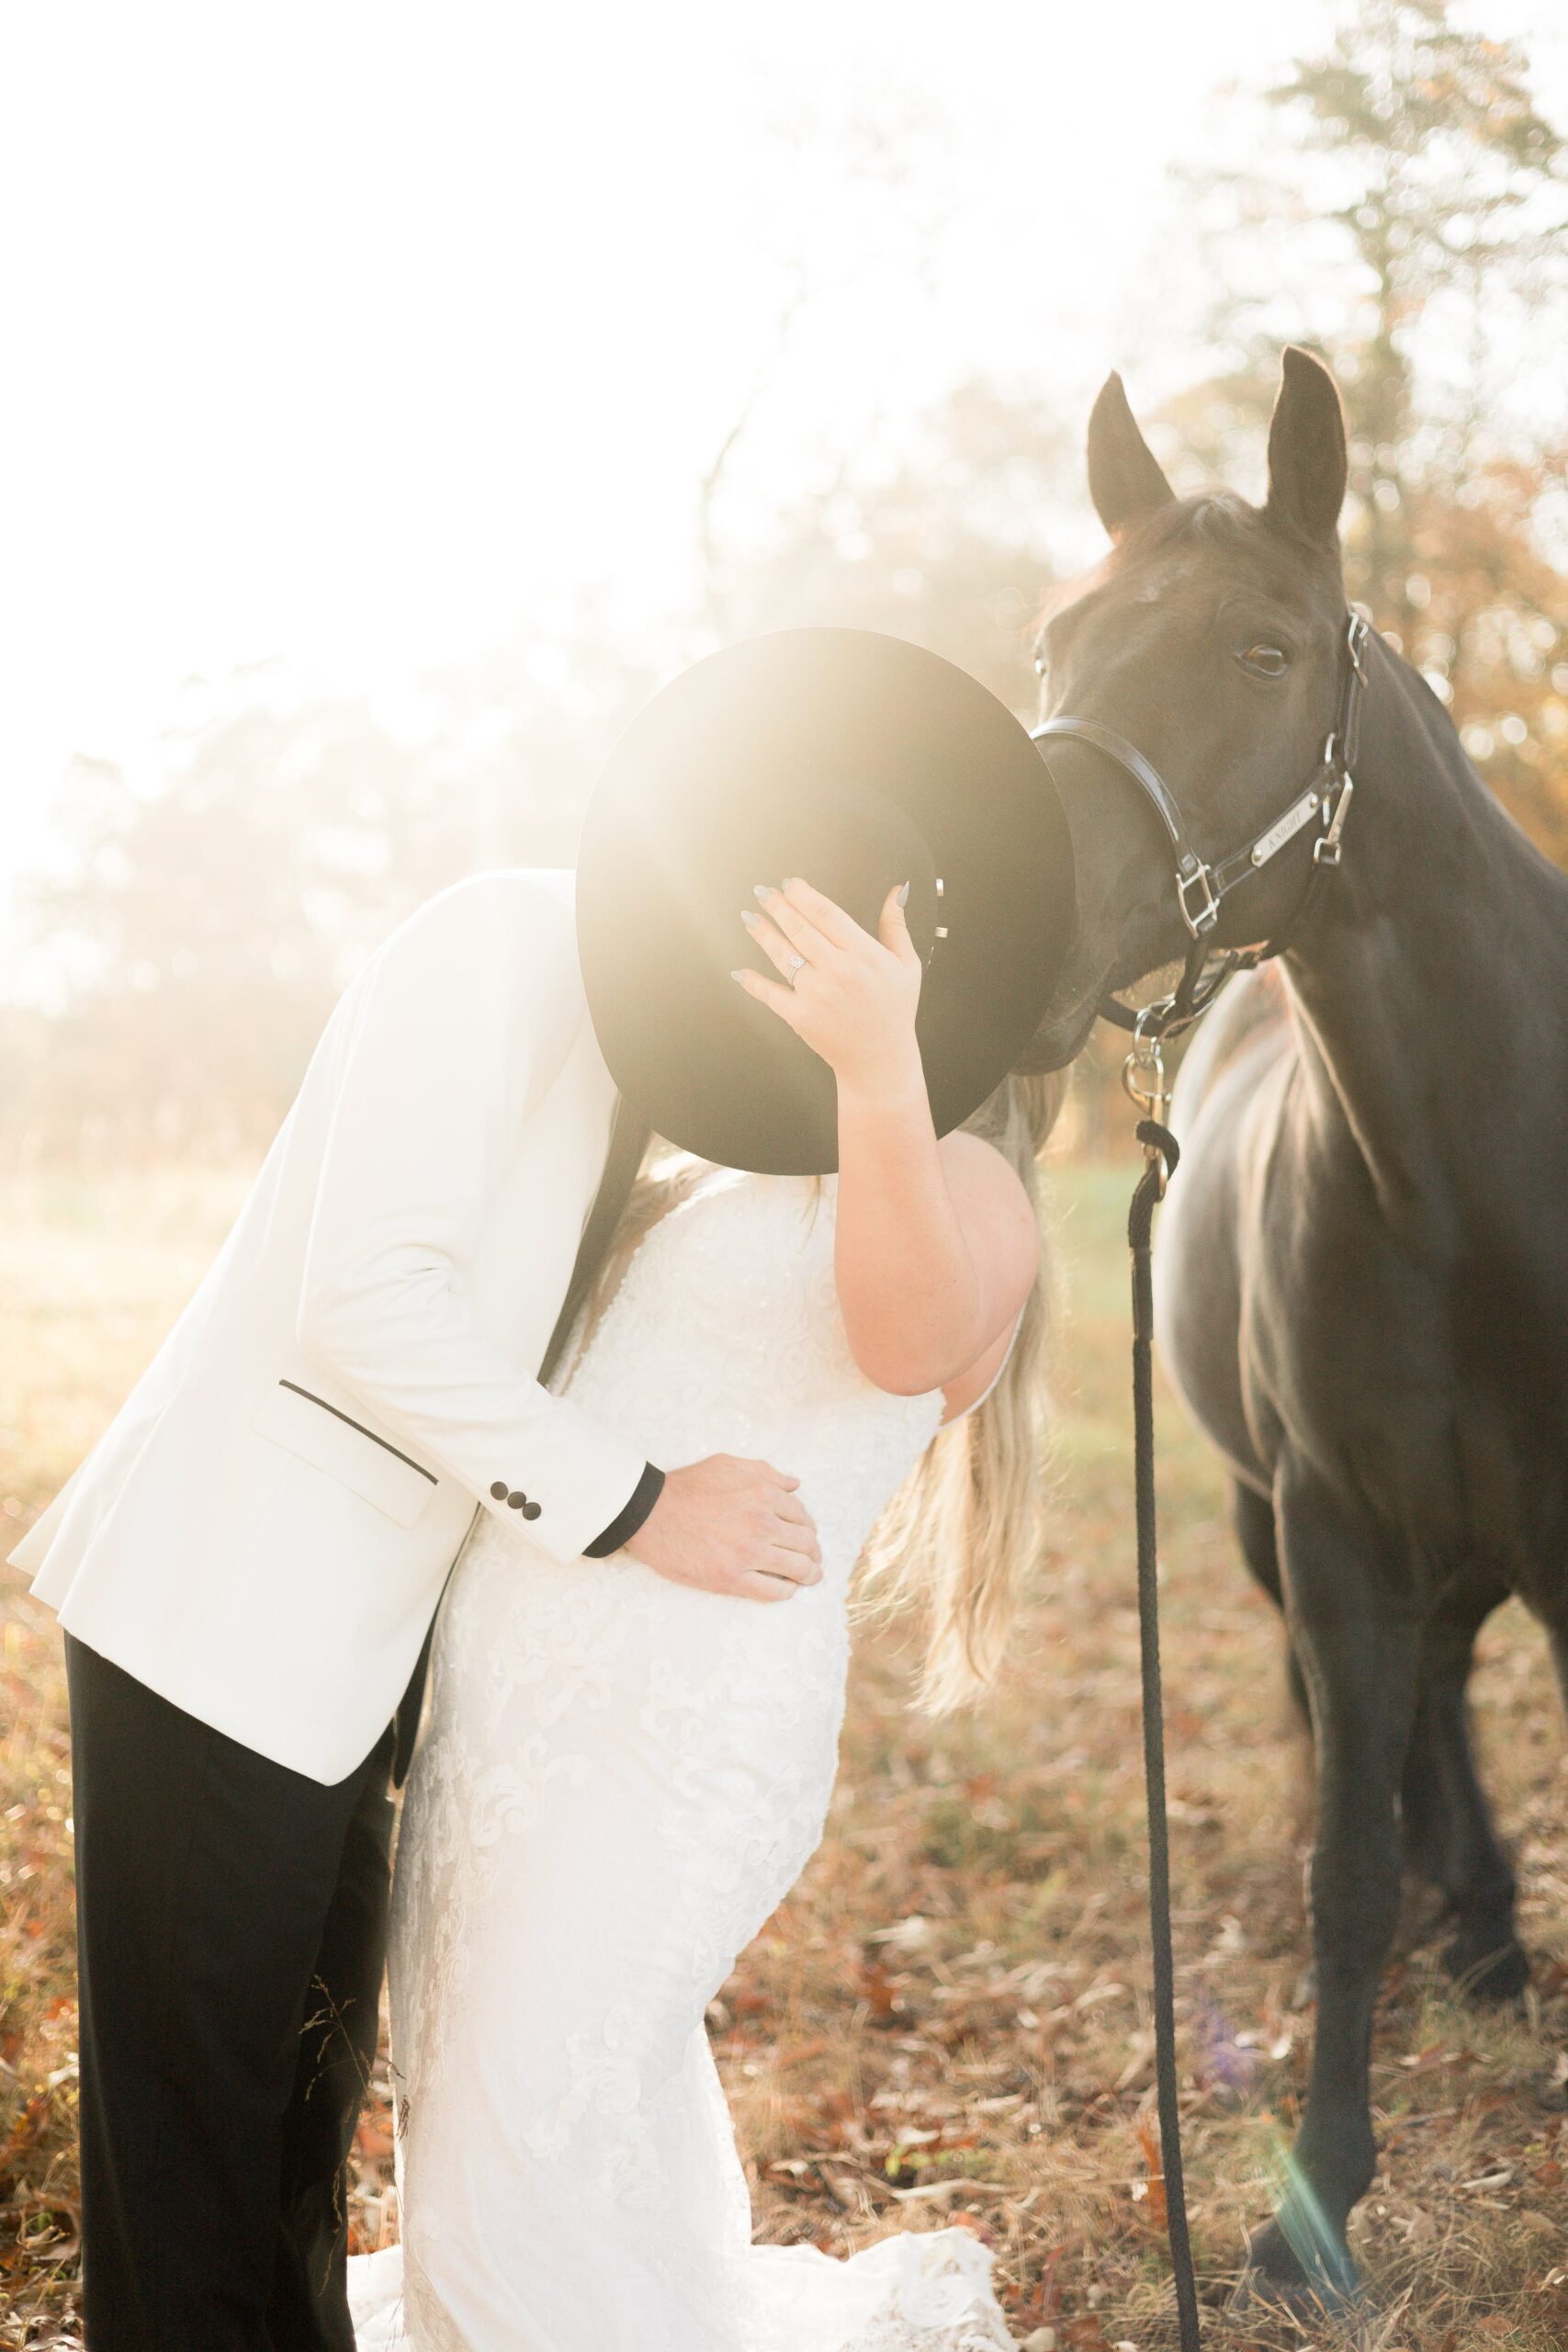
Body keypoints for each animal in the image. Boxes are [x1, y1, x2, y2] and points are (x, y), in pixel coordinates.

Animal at [1029, 347, 1568, 2295]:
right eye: (1055, 641)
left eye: (1263, 651)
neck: (1478, 1186)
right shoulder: (1335, 1534)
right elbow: (1343, 1867)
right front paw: (1321, 2194)